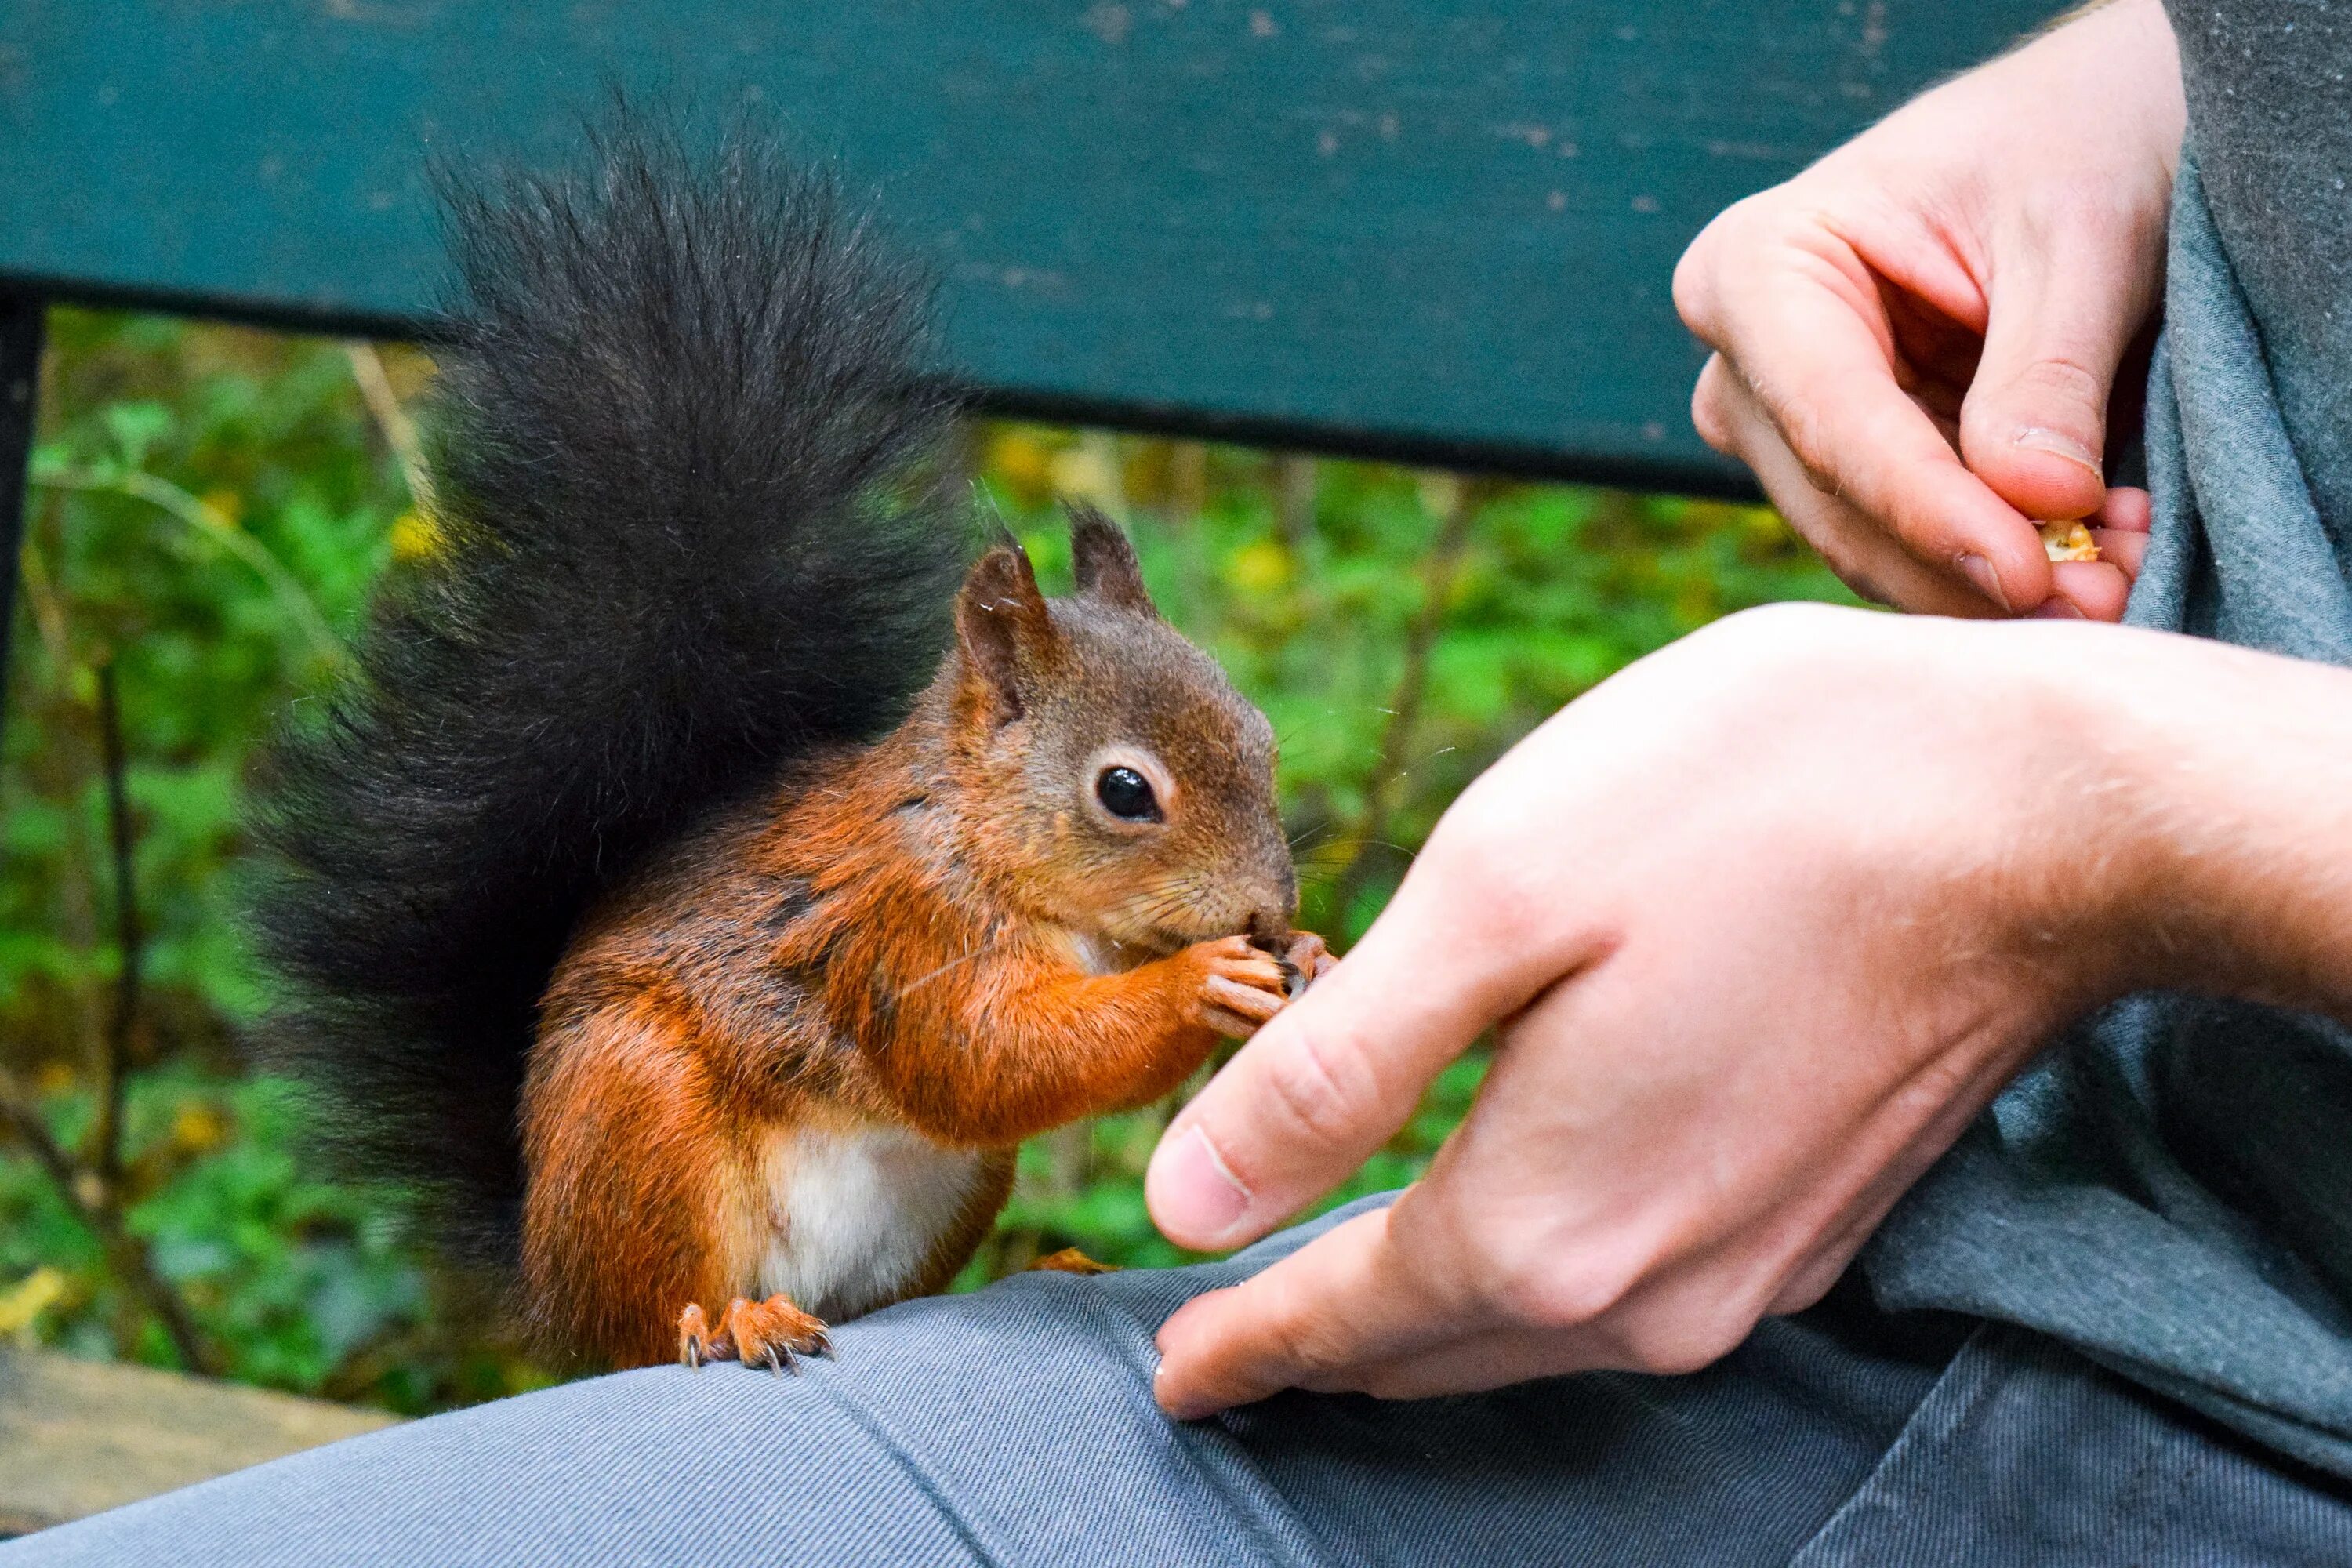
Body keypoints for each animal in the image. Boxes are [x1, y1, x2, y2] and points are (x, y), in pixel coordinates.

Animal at [257, 122, 1336, 1373]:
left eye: (1260, 734)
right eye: (1124, 790)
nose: (1267, 903)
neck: (994, 852)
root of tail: (547, 1276)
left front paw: (1309, 955)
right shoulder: (897, 930)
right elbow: (992, 1057)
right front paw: (1199, 981)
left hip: (945, 1195)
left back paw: (1035, 1268)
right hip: (640, 1115)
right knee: (655, 1318)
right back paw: (732, 1320)